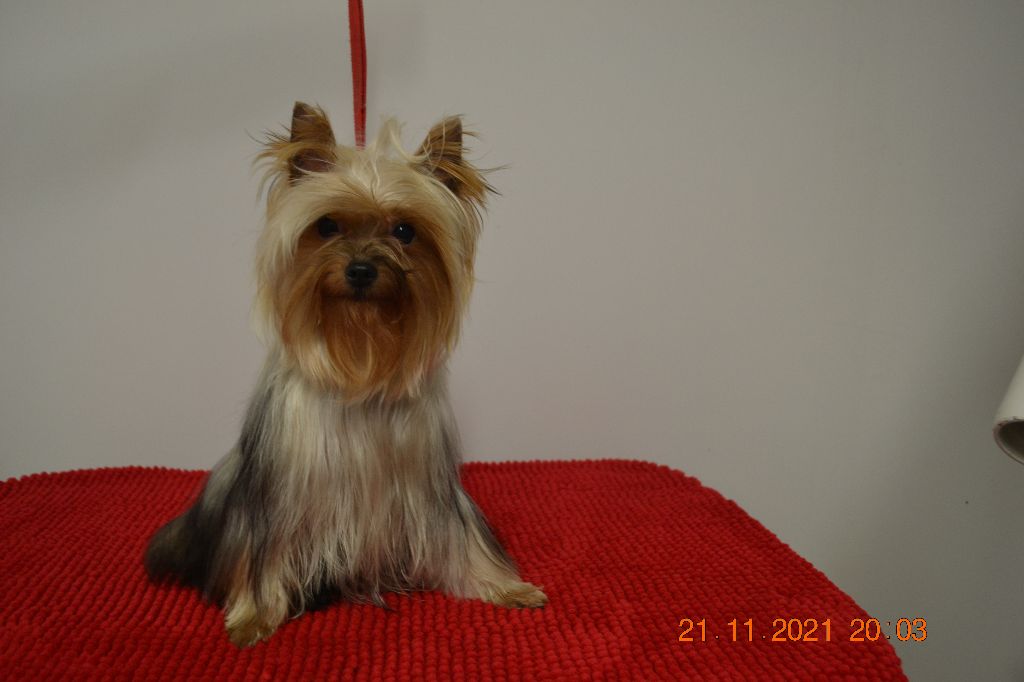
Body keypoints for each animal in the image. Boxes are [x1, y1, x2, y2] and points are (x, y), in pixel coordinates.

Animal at [145, 103, 546, 647]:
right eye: (327, 225)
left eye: (405, 231)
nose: (360, 270)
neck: (360, 351)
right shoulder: (279, 499)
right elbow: (264, 555)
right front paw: (254, 616)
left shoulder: (432, 491)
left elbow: (464, 542)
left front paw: (505, 588)